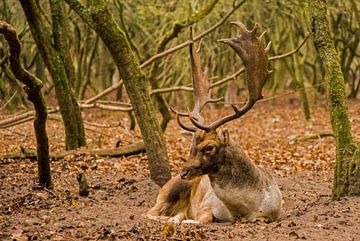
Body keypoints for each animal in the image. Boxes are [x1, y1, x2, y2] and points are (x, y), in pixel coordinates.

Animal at [146, 22, 282, 224]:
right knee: (149, 212)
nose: (184, 173)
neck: (245, 208)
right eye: (191, 146)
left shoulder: (275, 212)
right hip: (169, 192)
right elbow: (205, 218)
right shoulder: (206, 205)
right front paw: (186, 221)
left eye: (209, 147)